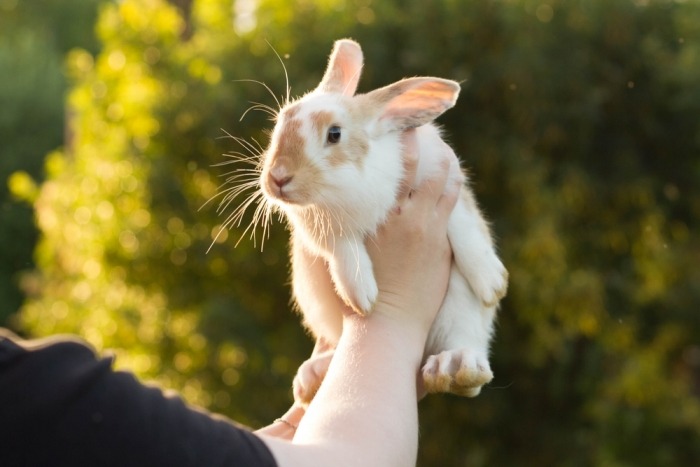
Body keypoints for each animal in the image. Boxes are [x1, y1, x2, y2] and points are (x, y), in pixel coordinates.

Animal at [252, 40, 508, 404]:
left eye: (334, 134)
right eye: (279, 122)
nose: (277, 178)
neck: (351, 186)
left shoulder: (447, 182)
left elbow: (463, 229)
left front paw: (493, 282)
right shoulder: (316, 229)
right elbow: (343, 249)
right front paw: (362, 295)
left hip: (461, 317)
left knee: (466, 358)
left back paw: (455, 366)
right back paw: (314, 375)